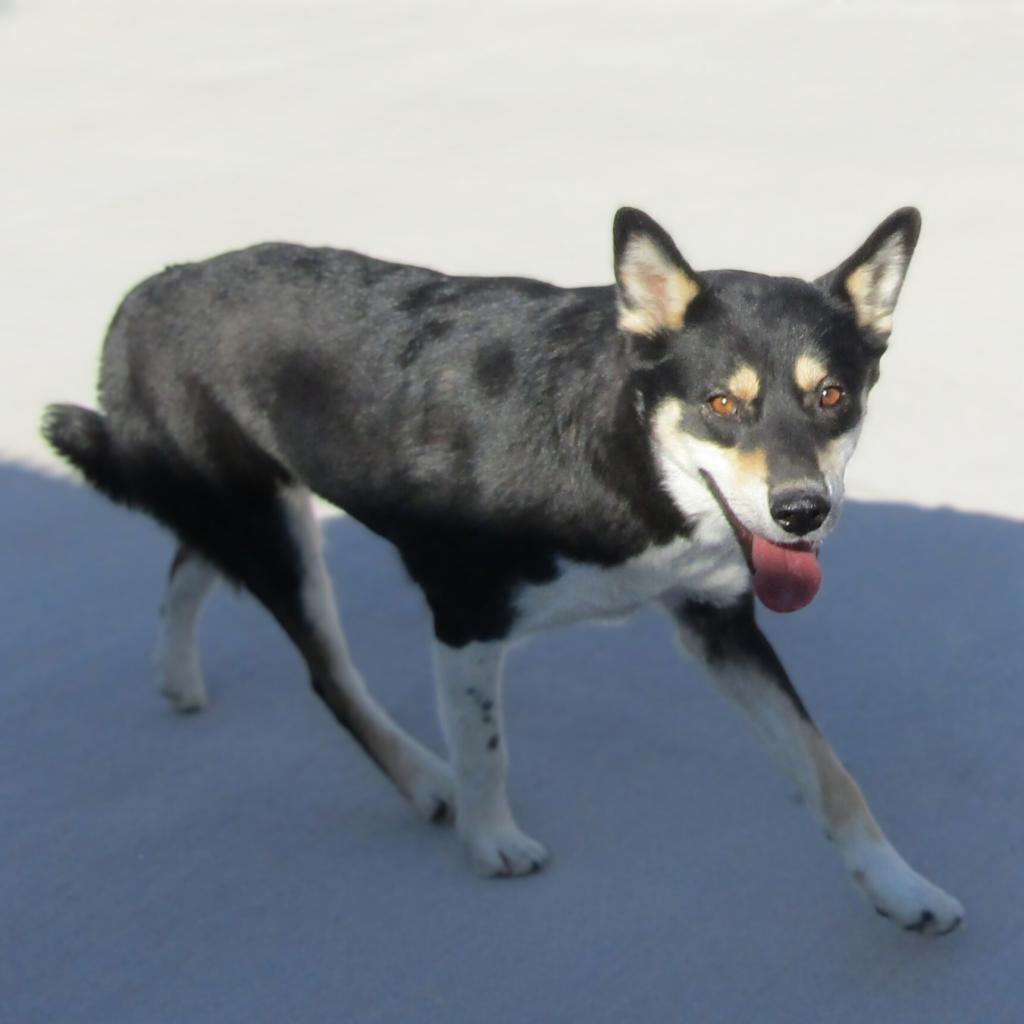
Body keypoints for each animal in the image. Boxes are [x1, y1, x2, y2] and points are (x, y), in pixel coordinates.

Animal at [46, 203, 958, 933]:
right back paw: (425, 779)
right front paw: (489, 842)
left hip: (255, 509)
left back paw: (175, 673)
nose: (803, 512)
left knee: (191, 554)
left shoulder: (718, 619)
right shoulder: (465, 615)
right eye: (722, 405)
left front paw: (899, 886)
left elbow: (828, 769)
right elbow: (486, 748)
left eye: (833, 396)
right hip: (275, 531)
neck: (621, 446)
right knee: (328, 675)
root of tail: (147, 291)